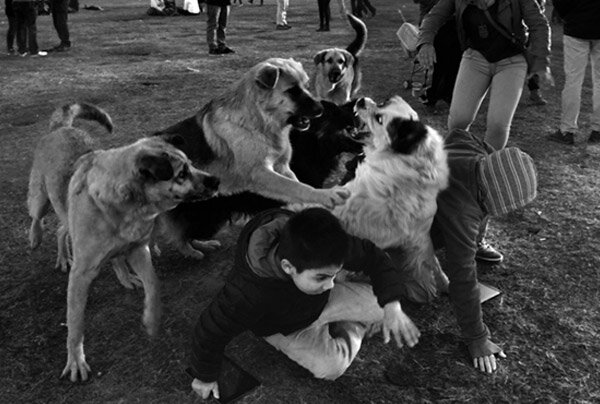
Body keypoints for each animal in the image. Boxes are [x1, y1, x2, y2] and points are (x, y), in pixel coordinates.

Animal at [27, 102, 220, 382]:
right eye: (181, 173)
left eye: (192, 165)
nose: (216, 180)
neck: (126, 205)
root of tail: (62, 128)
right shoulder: (81, 275)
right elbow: (75, 323)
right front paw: (75, 360)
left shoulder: (139, 249)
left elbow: (154, 284)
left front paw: (151, 318)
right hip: (41, 196)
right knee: (38, 216)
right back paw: (36, 238)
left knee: (64, 230)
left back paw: (109, 271)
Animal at [155, 58, 350, 258]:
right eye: (292, 91)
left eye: (307, 86)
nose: (321, 109)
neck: (259, 122)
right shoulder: (261, 174)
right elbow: (296, 187)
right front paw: (326, 195)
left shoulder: (282, 168)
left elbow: (298, 186)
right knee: (177, 235)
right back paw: (191, 251)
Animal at [336, 96, 448, 302]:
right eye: (382, 103)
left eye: (379, 119)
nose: (361, 100)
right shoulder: (420, 235)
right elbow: (431, 263)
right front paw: (442, 285)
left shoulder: (420, 235)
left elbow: (431, 262)